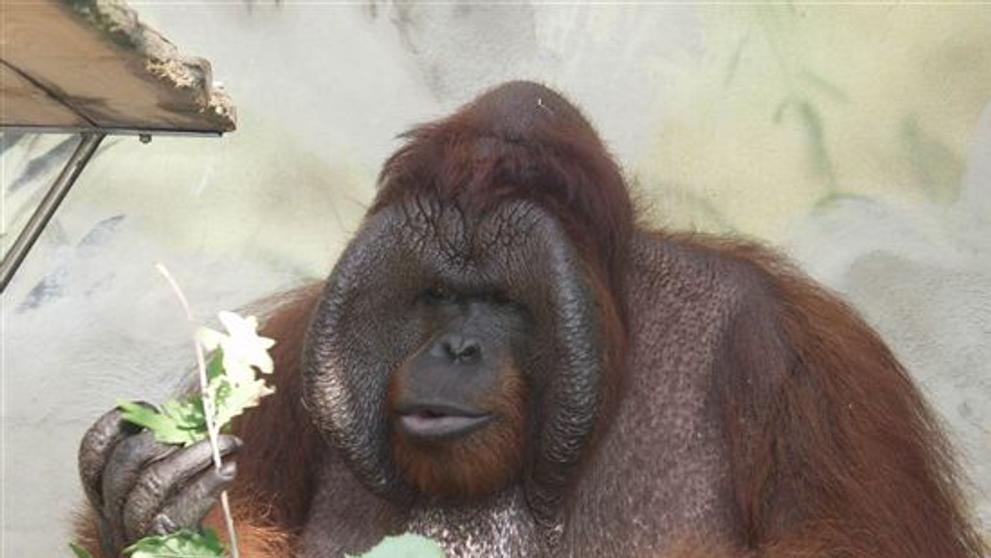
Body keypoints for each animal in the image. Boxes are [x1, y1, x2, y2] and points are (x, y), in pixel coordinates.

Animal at [75, 81, 986, 557]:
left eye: (505, 304)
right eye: (439, 295)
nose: (455, 345)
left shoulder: (795, 357)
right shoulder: (292, 354)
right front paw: (156, 508)